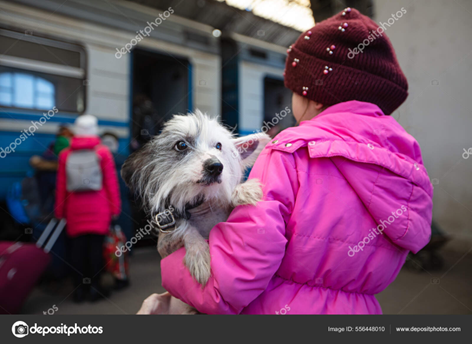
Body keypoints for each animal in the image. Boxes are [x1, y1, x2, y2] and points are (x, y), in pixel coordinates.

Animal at [120, 110, 272, 284]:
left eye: (218, 146)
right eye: (181, 145)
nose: (216, 166)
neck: (201, 204)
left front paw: (242, 189)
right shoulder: (167, 237)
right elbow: (187, 229)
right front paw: (198, 253)